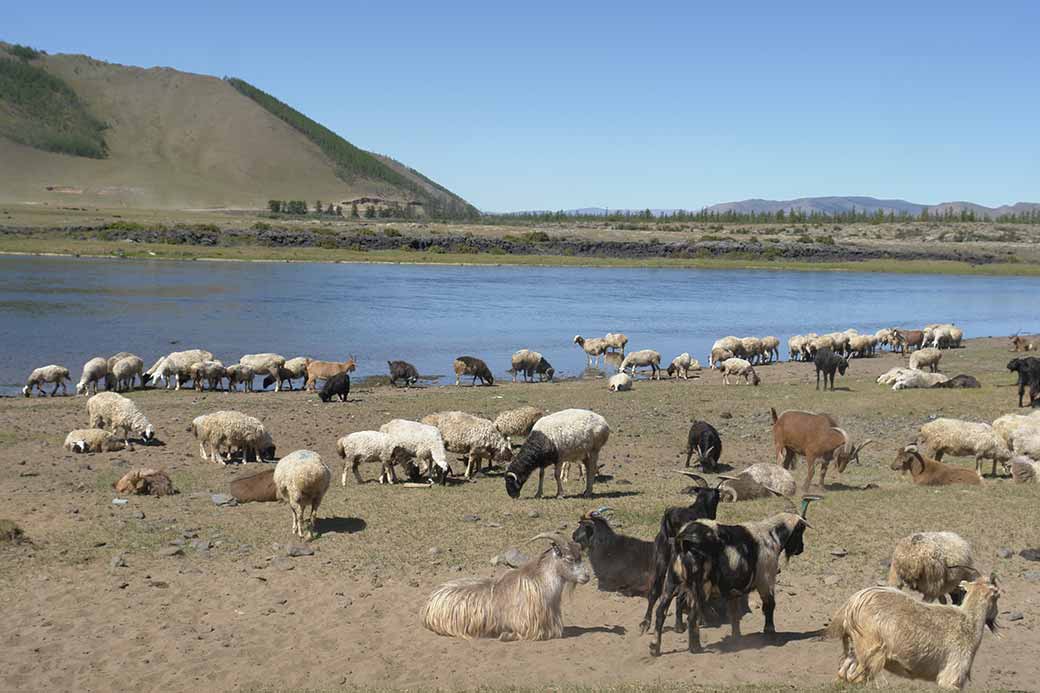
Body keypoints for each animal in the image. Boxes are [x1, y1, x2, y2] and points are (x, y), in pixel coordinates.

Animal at [421, 532, 590, 641]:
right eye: (569, 558)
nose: (587, 576)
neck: (540, 584)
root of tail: (428, 604)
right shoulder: (527, 627)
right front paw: (504, 635)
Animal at [648, 496, 819, 655]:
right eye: (800, 530)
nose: (801, 548)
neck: (771, 535)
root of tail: (683, 540)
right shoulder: (766, 579)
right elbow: (769, 605)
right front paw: (770, 633)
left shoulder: (733, 590)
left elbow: (734, 614)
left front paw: (736, 638)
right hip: (700, 586)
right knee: (692, 615)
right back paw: (695, 648)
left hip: (671, 581)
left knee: (660, 612)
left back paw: (654, 648)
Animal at [828, 574, 1000, 689]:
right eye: (997, 596)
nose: (994, 616)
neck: (968, 623)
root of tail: (852, 604)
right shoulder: (952, 674)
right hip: (869, 651)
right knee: (855, 677)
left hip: (857, 650)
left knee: (844, 673)